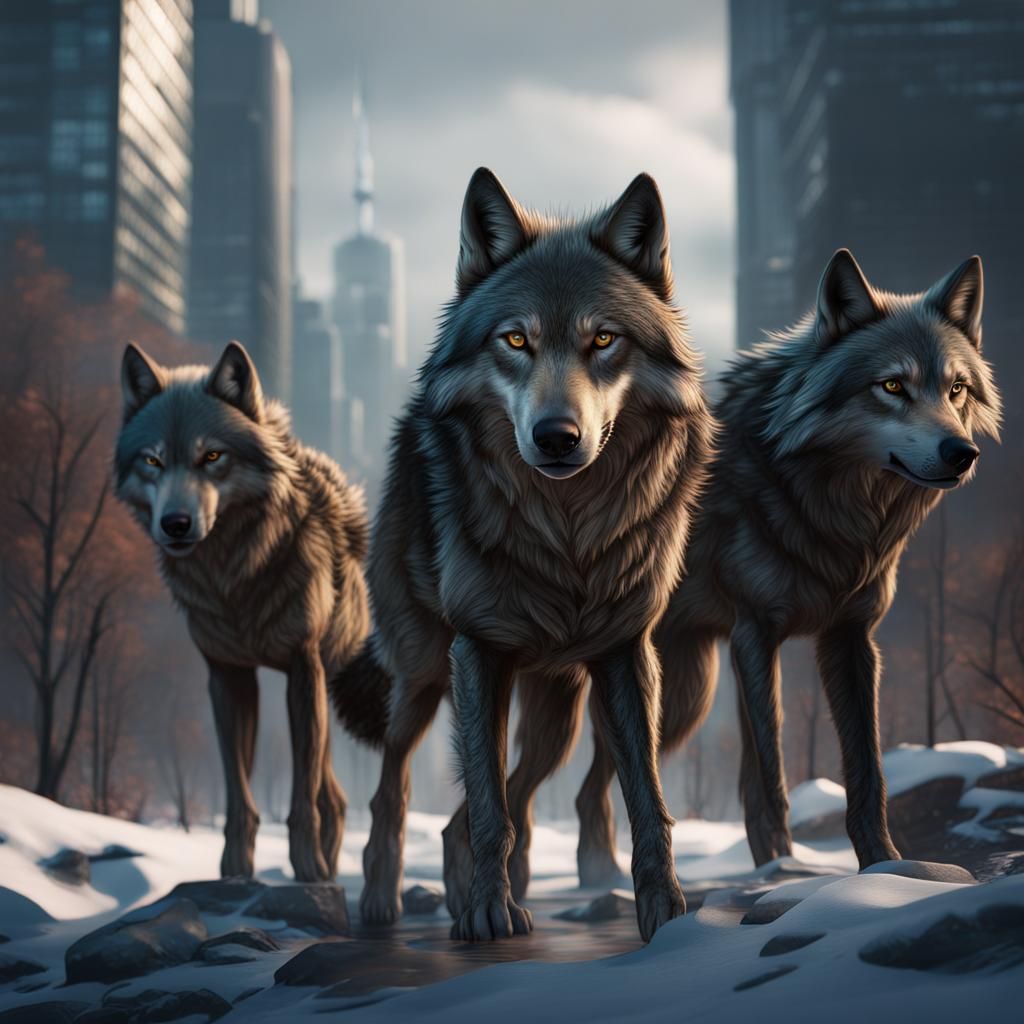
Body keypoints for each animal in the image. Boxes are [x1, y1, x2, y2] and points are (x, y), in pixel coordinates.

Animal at [115, 341, 383, 883]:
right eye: (153, 460)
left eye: (212, 456)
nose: (175, 524)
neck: (234, 577)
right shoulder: (228, 675)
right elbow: (239, 794)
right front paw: (235, 872)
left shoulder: (303, 669)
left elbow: (301, 796)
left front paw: (309, 870)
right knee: (334, 793)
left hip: (323, 682)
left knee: (330, 793)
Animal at [332, 167, 714, 941]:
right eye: (515, 339)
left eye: (604, 340)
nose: (557, 436)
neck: (565, 535)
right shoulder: (477, 651)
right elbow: (489, 809)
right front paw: (487, 913)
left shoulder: (628, 652)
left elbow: (645, 800)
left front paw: (665, 910)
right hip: (423, 675)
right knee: (394, 788)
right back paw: (383, 905)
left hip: (554, 726)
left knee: (468, 811)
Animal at [561, 248, 1001, 882]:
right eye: (892, 385)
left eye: (957, 388)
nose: (961, 453)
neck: (831, 507)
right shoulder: (755, 635)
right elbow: (770, 769)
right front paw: (783, 870)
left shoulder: (850, 638)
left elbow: (866, 769)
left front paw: (885, 867)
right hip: (676, 700)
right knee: (573, 788)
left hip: (684, 692)